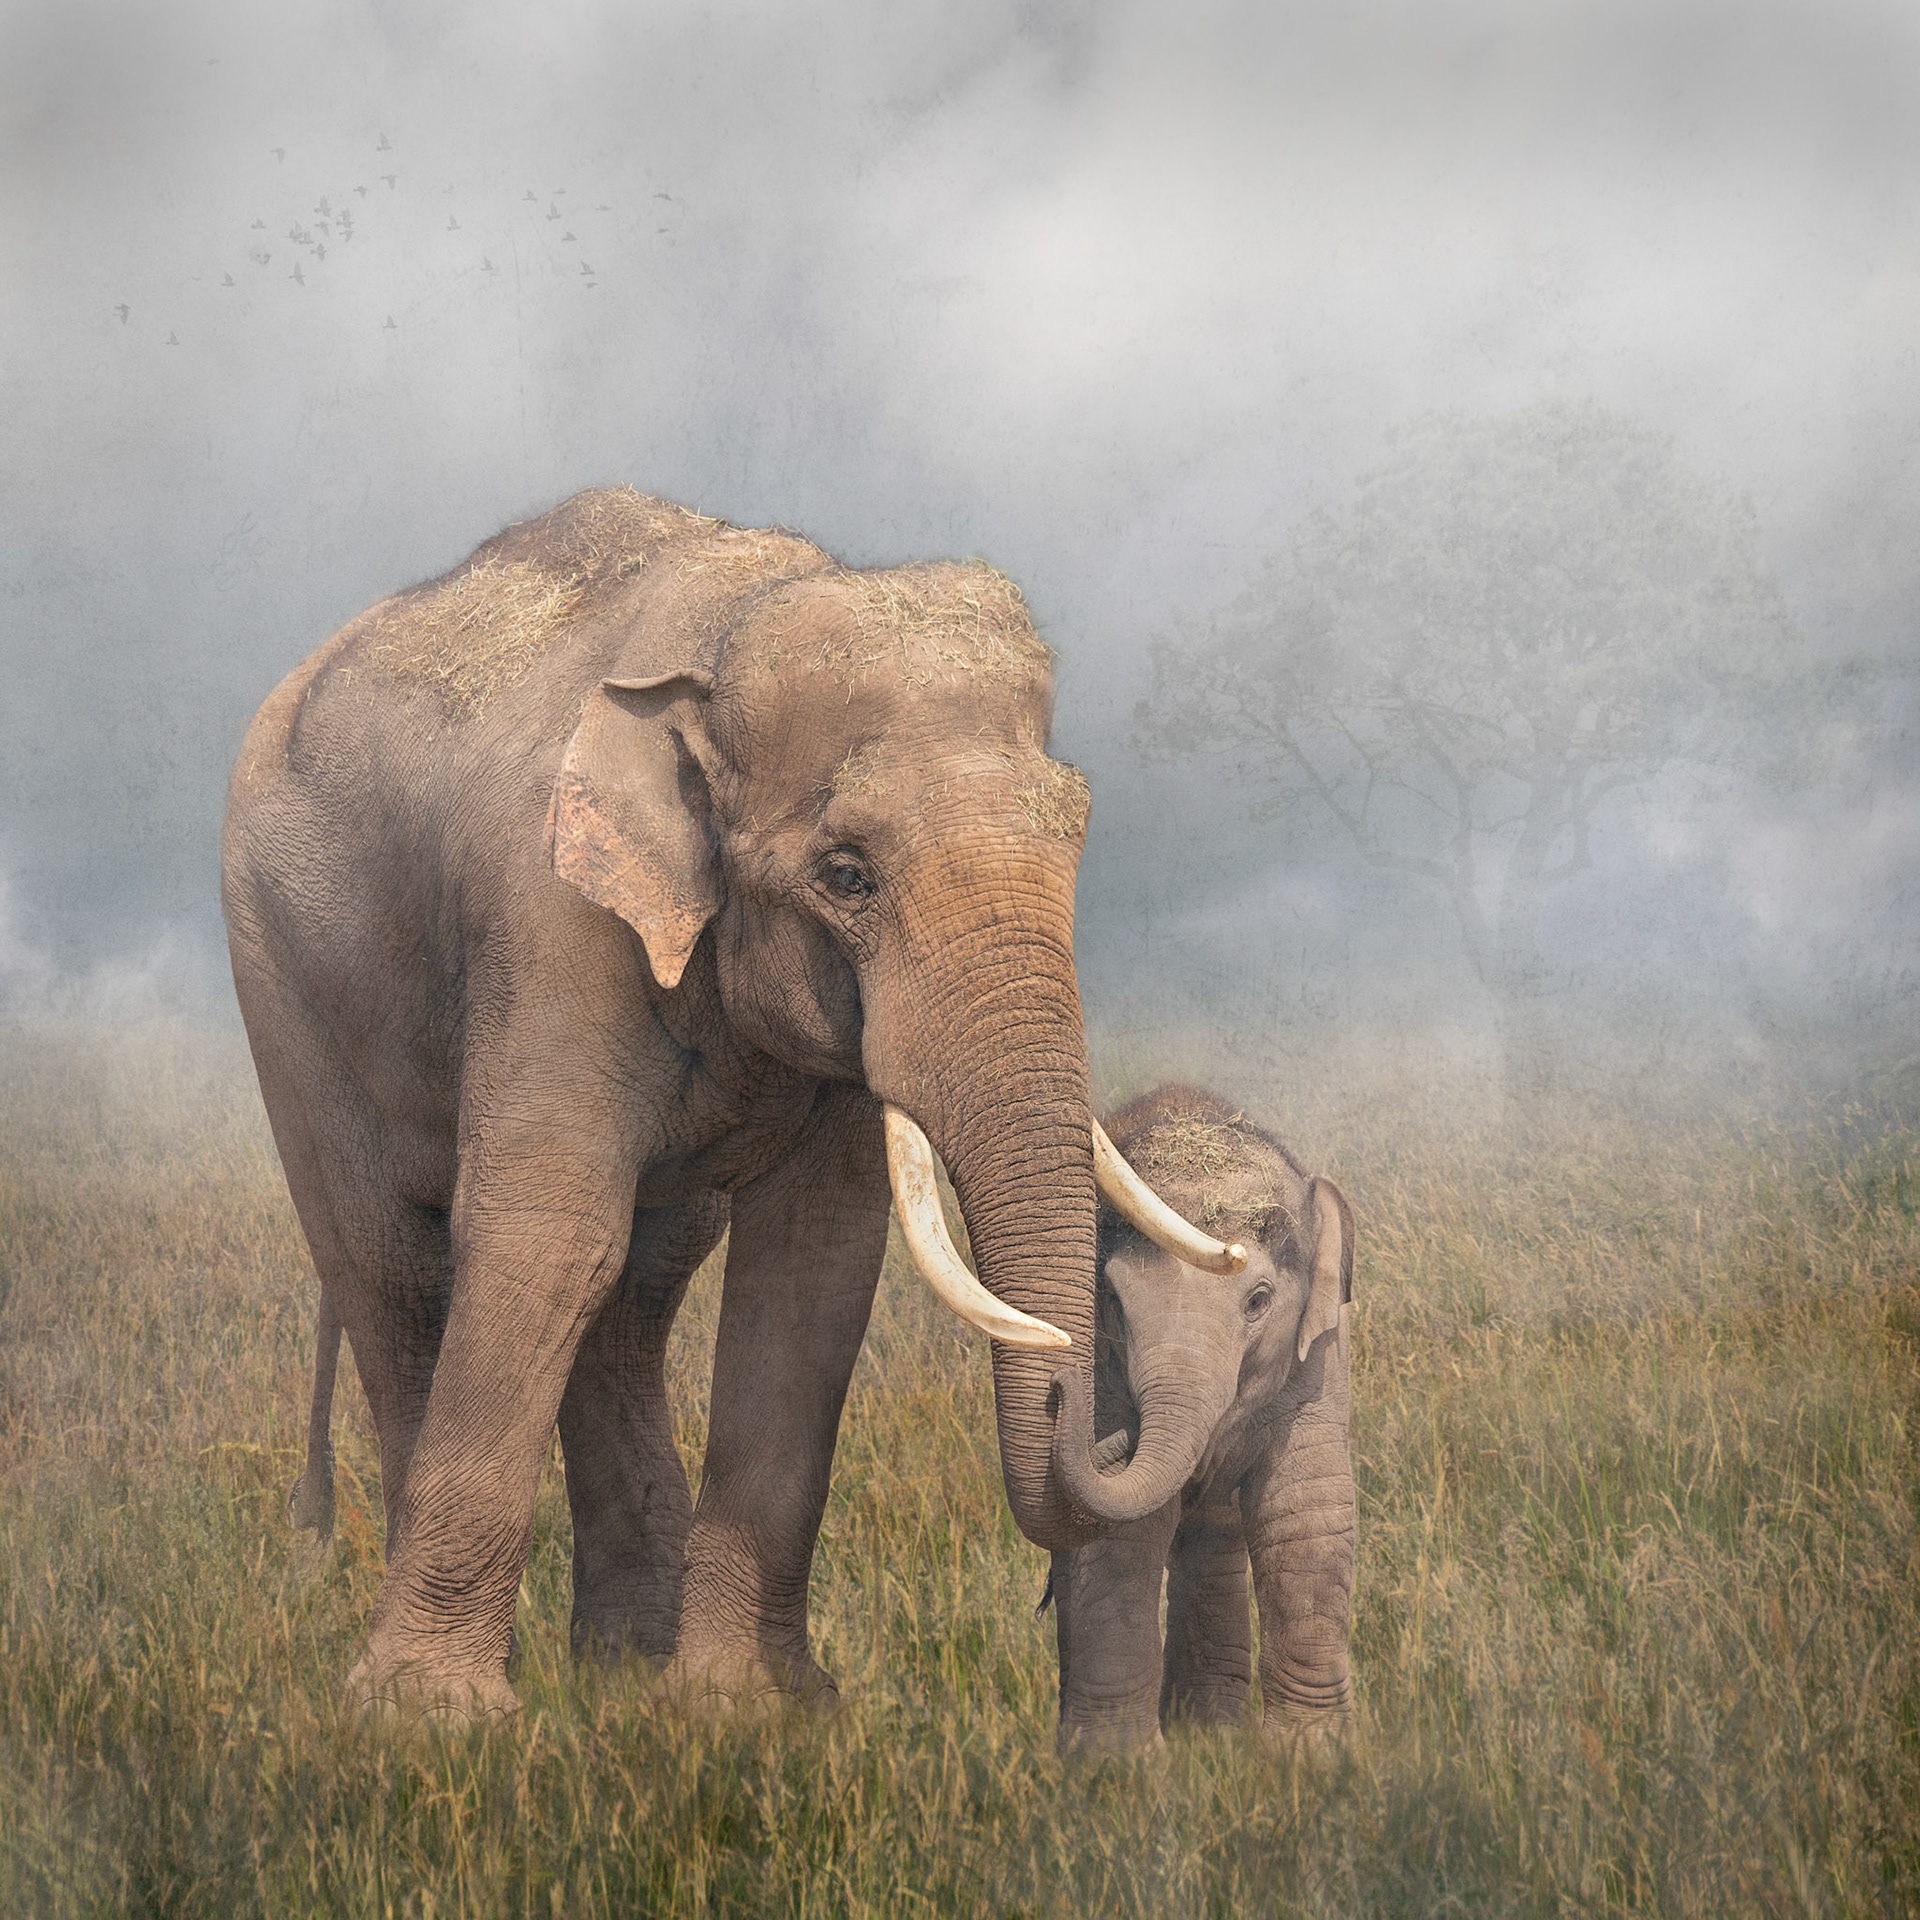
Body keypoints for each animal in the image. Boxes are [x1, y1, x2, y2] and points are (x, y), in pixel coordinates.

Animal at [222, 487, 1244, 1718]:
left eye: (1078, 831)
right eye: (846, 875)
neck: (725, 640)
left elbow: (813, 1267)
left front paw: (752, 1709)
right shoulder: (551, 918)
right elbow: (542, 1238)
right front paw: (433, 1721)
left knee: (634, 1287)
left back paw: (625, 1662)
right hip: (278, 975)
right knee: (394, 1268)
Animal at [1044, 1085, 1356, 1754]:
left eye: (1259, 1301)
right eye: (1113, 1302)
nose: (1057, 1388)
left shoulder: (1319, 1360)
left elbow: (1303, 1511)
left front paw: (1315, 1756)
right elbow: (1124, 1534)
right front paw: (1115, 1767)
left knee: (1216, 1531)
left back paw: (1213, 1736)